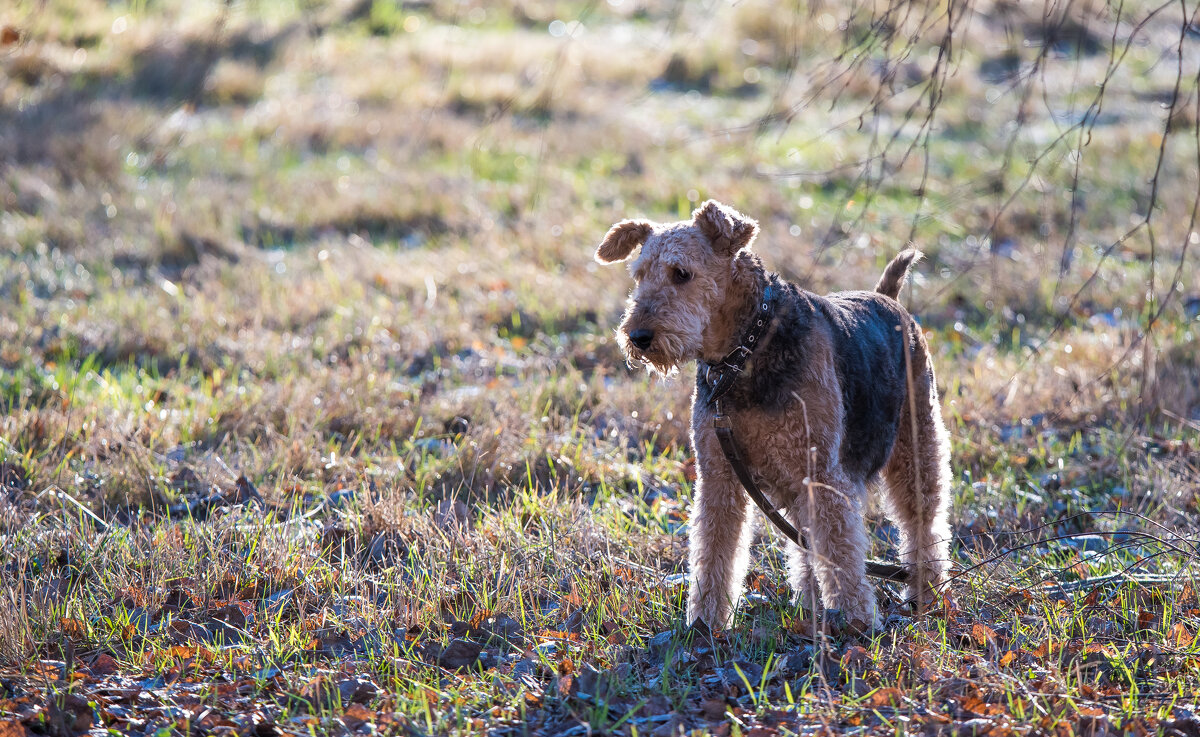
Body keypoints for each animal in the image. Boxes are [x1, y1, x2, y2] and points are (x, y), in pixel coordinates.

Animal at [595, 200, 950, 628]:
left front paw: (857, 621)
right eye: (639, 275)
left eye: (681, 273)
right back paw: (812, 604)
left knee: (923, 525)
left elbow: (840, 549)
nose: (638, 337)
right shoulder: (719, 473)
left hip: (917, 447)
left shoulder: (821, 472)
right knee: (807, 544)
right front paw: (706, 622)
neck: (746, 349)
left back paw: (925, 593)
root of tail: (889, 300)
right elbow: (715, 548)